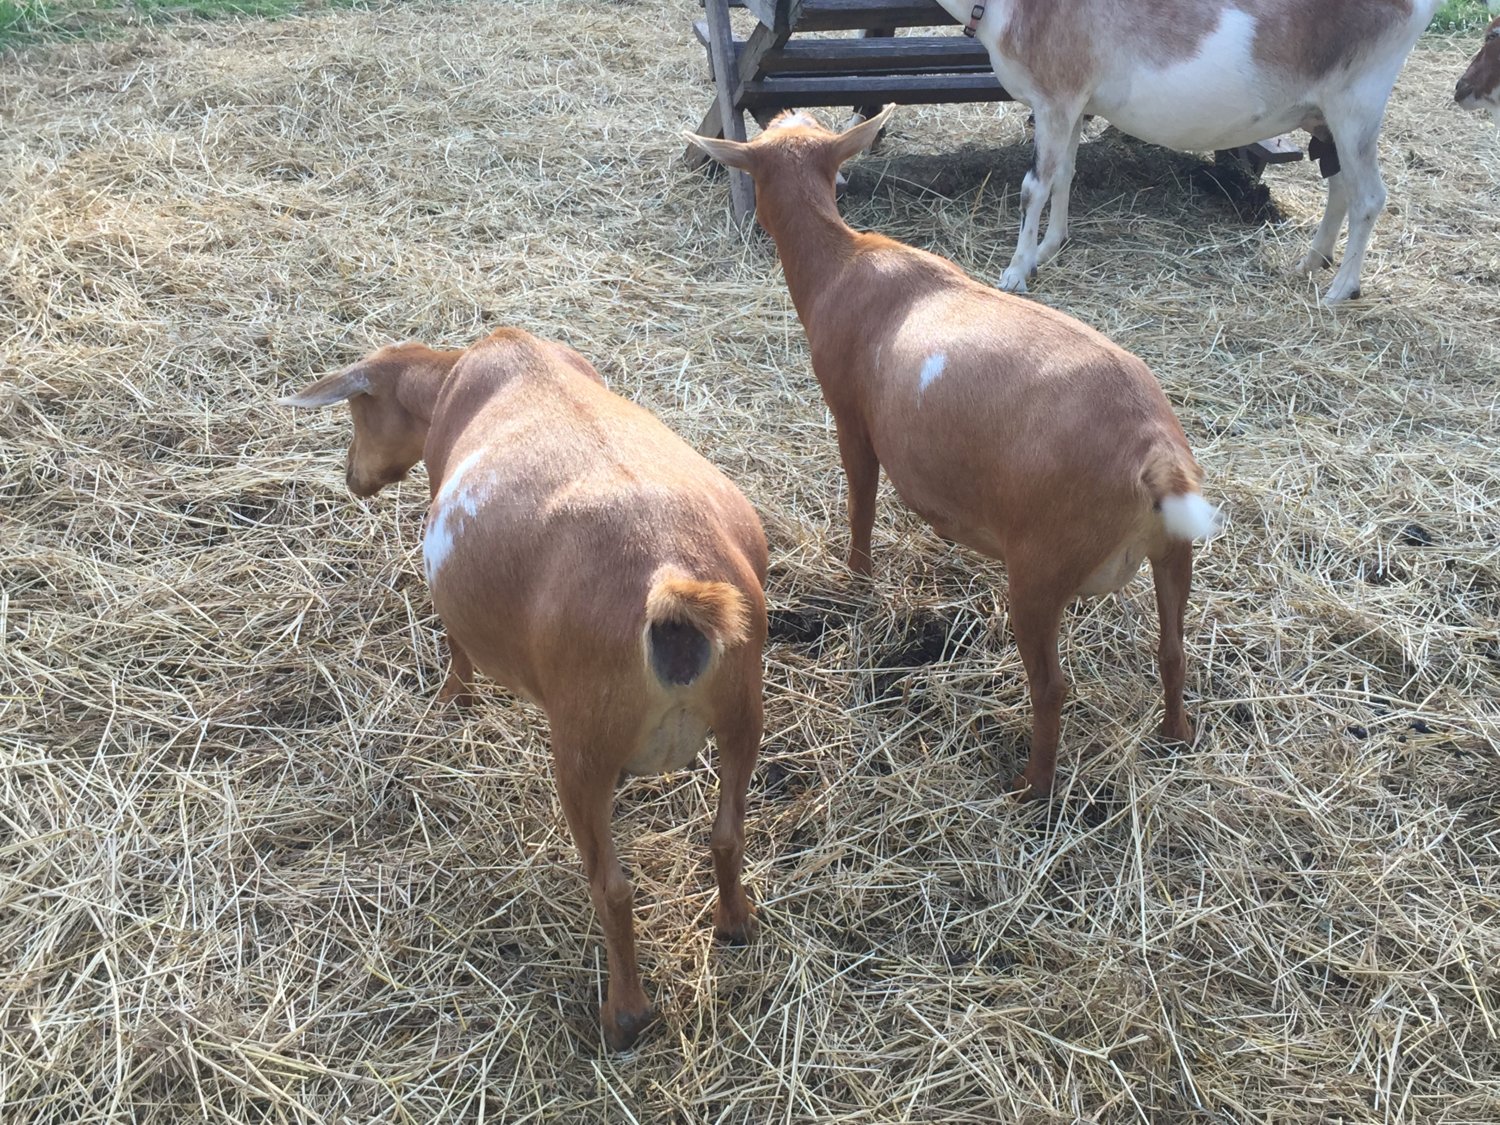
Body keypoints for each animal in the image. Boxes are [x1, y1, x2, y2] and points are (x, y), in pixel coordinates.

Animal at [280, 330, 768, 1056]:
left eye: (359, 412)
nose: (351, 476)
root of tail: (670, 581)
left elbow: (456, 644)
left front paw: (451, 701)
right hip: (743, 713)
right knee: (728, 834)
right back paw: (735, 923)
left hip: (582, 747)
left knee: (611, 887)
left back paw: (625, 1015)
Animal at [936, 0, 1440, 304]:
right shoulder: (1074, 103)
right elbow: (1065, 174)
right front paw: (1048, 248)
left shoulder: (1054, 97)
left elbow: (1034, 187)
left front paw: (1016, 271)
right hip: (1326, 115)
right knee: (1340, 188)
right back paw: (1309, 263)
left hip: (1358, 101)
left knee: (1369, 196)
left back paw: (1340, 290)